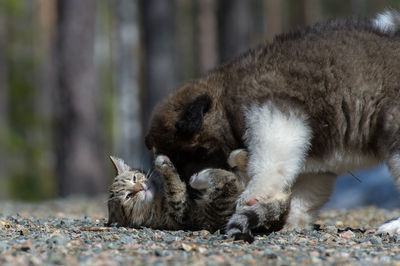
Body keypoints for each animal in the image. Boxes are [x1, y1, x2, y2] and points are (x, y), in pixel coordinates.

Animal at [106, 149, 252, 234]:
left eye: (134, 178)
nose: (141, 187)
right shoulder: (181, 212)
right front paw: (163, 163)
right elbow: (175, 186)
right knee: (226, 179)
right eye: (128, 196)